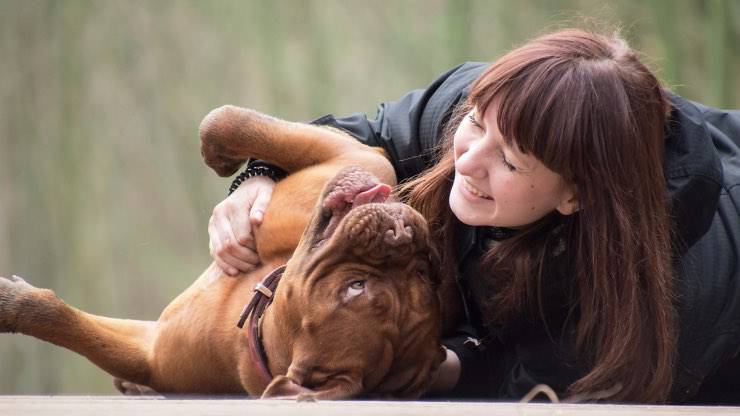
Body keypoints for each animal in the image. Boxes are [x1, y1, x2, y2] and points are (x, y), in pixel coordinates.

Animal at [0, 106, 446, 400]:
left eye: (356, 287)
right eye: (424, 276)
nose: (402, 234)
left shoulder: (151, 353)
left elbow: (64, 321)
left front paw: (12, 303)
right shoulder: (358, 156)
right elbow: (225, 120)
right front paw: (224, 158)